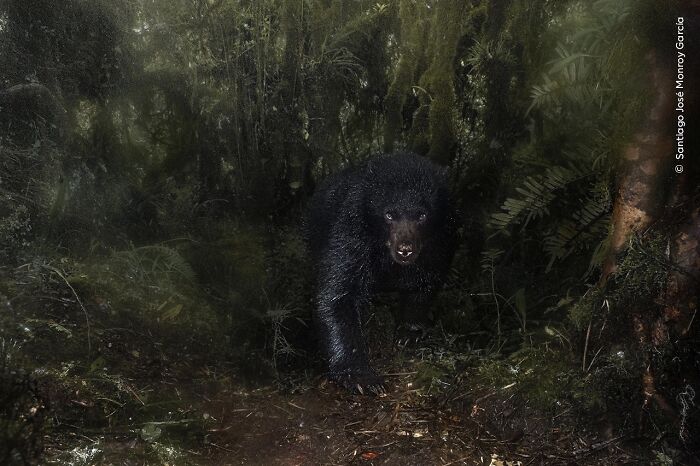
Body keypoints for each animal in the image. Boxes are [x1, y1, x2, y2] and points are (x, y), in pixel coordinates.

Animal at [305, 152, 457, 394]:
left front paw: (409, 333)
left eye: (422, 215)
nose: (405, 249)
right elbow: (337, 294)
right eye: (389, 214)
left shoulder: (441, 237)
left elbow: (426, 280)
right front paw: (362, 378)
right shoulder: (351, 231)